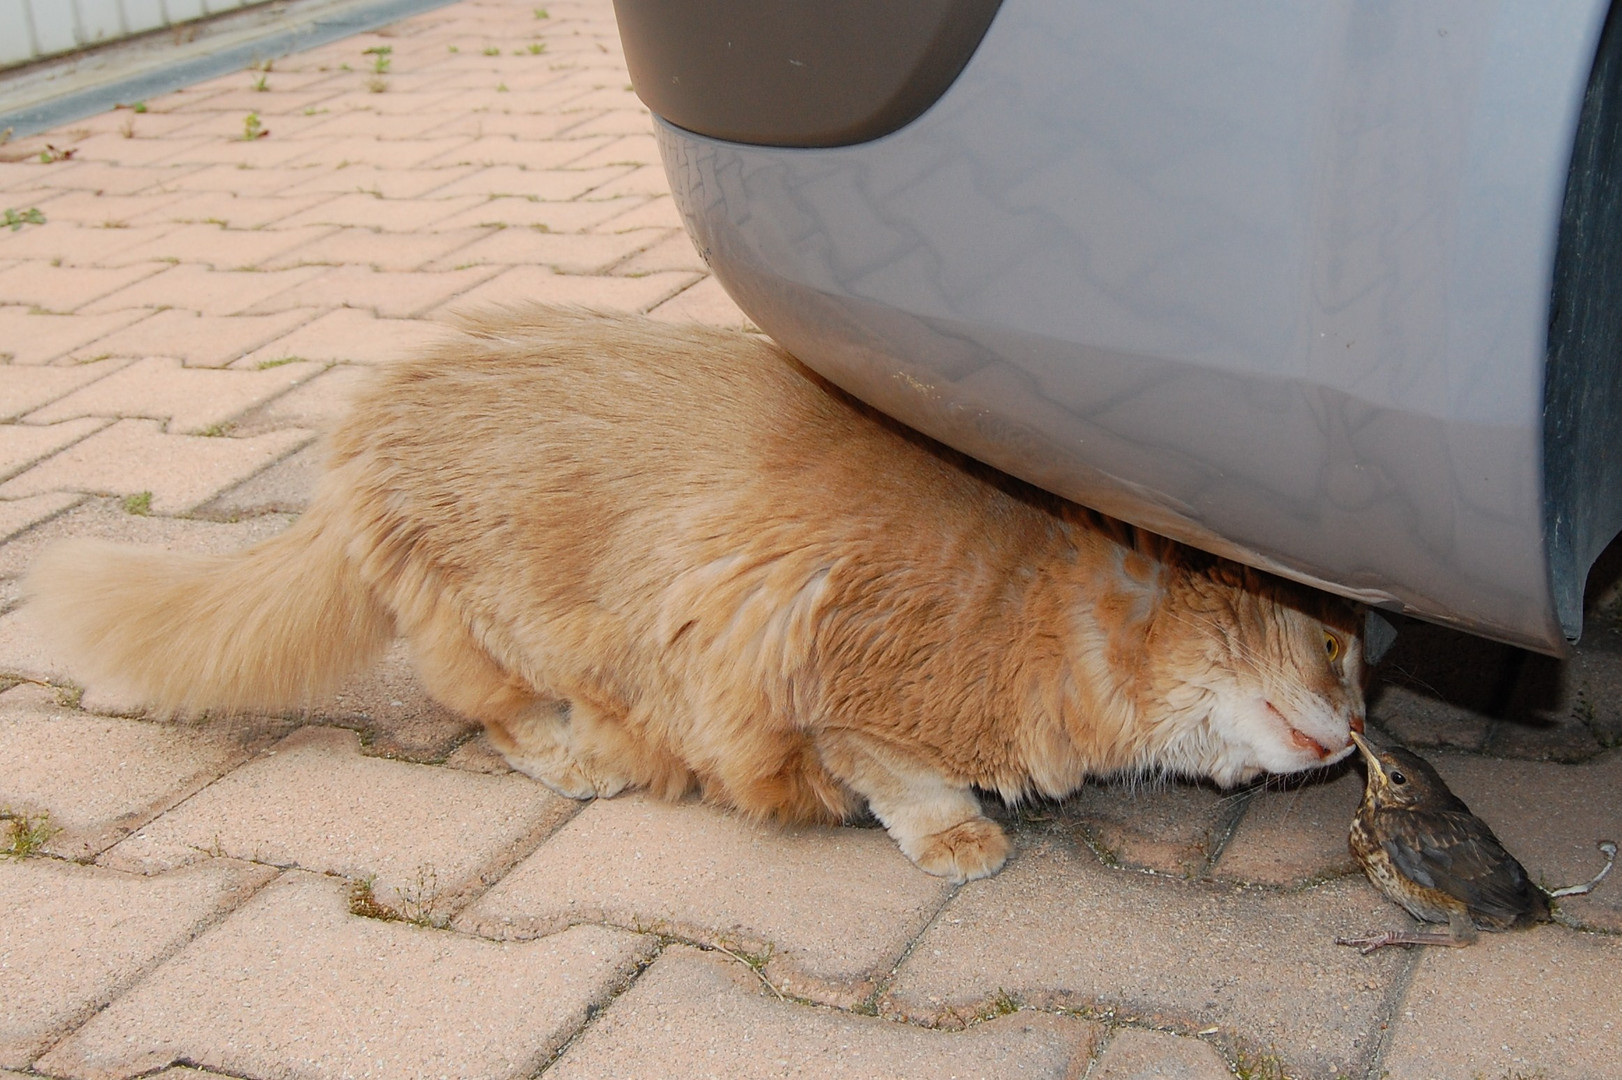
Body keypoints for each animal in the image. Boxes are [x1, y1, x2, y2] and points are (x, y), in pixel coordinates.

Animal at [25, 303, 1368, 875]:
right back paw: (564, 753)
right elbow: (897, 778)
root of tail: (373, 407)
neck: (1054, 593)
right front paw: (953, 837)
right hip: (535, 626)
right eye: (1340, 654)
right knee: (509, 720)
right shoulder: (809, 661)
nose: (1360, 734)